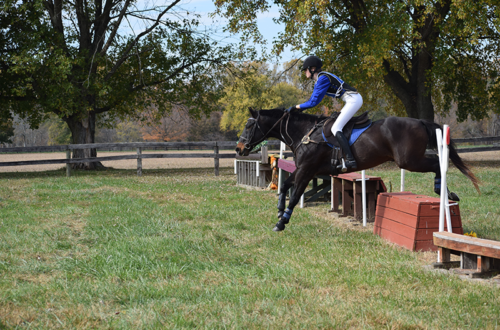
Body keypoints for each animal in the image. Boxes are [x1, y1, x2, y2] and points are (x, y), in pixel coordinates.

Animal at [236, 108, 482, 232]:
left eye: (249, 125)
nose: (239, 148)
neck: (305, 133)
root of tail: (420, 121)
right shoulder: (305, 169)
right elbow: (286, 185)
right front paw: (280, 210)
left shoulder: (307, 169)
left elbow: (295, 195)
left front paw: (281, 222)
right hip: (410, 159)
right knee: (438, 160)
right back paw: (446, 193)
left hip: (408, 161)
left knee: (437, 162)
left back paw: (444, 191)